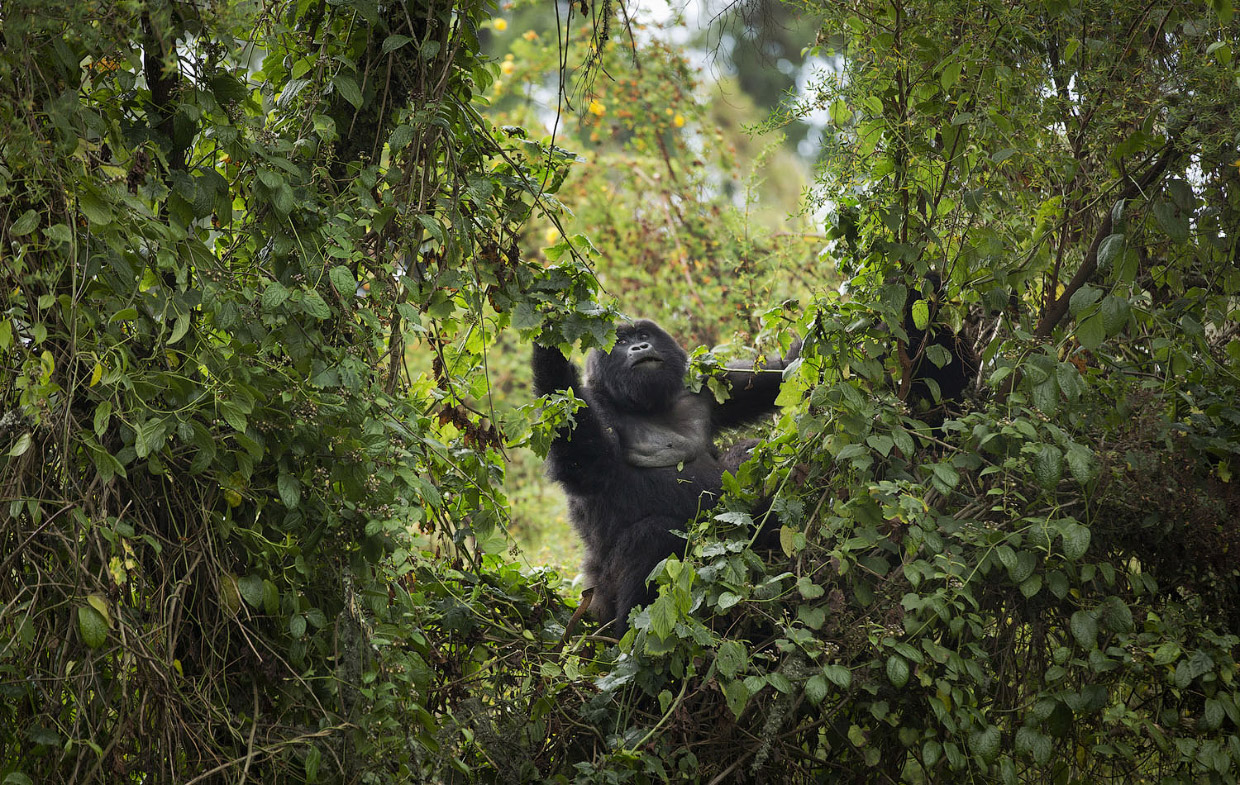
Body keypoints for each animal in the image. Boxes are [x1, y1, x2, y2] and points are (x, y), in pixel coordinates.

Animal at [530, 319, 798, 634]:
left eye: (644, 335)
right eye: (621, 343)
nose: (639, 347)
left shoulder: (703, 385)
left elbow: (782, 375)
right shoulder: (596, 403)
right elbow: (584, 459)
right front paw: (549, 347)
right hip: (600, 595)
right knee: (653, 537)